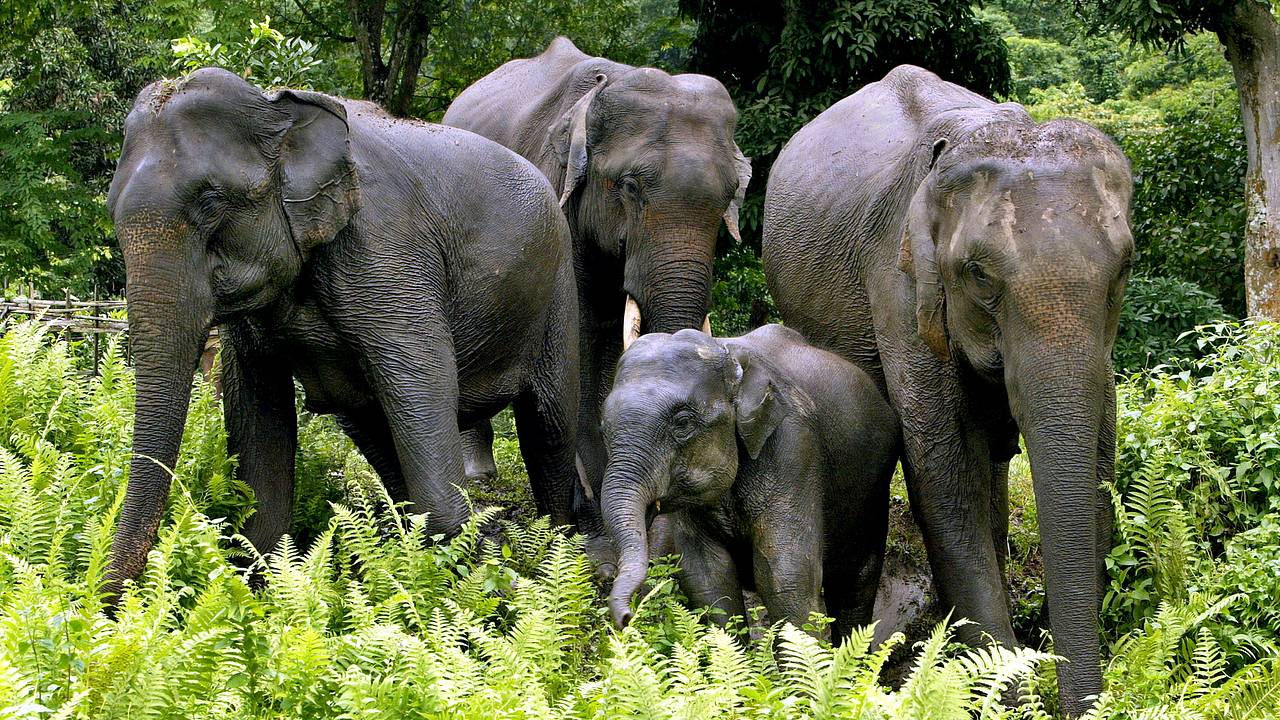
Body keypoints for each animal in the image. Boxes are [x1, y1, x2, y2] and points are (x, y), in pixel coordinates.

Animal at [104, 67, 580, 597]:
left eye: (209, 202)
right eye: (110, 208)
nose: (106, 602)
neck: (278, 109)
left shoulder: (389, 255)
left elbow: (422, 385)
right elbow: (257, 411)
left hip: (559, 283)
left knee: (550, 424)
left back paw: (560, 553)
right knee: (374, 429)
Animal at [443, 37, 752, 573]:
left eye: (730, 195)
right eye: (629, 186)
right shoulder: (555, 204)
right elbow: (582, 339)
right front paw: (589, 525)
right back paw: (479, 475)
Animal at [601, 326, 900, 641]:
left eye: (682, 423)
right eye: (603, 429)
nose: (626, 619)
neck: (726, 351)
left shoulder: (793, 446)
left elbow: (785, 575)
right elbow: (708, 577)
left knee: (855, 584)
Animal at [762, 64, 1133, 715]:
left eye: (1125, 269)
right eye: (978, 275)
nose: (1075, 700)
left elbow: (1098, 459)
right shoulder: (899, 279)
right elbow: (945, 473)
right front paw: (1002, 688)